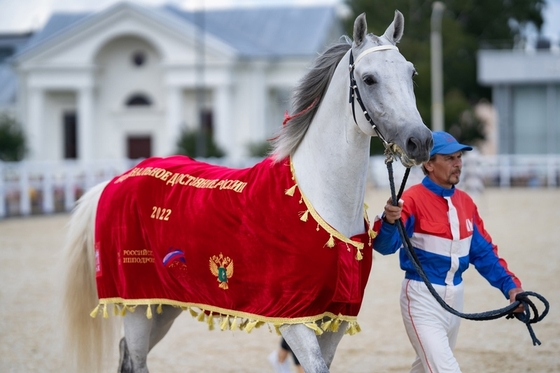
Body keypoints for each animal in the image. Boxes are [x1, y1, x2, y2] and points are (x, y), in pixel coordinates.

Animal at [62, 10, 434, 372]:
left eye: (411, 73)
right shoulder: (294, 321)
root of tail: (114, 182)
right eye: (369, 78)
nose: (420, 141)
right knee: (135, 359)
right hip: (137, 308)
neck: (318, 202)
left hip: (163, 306)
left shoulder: (336, 319)